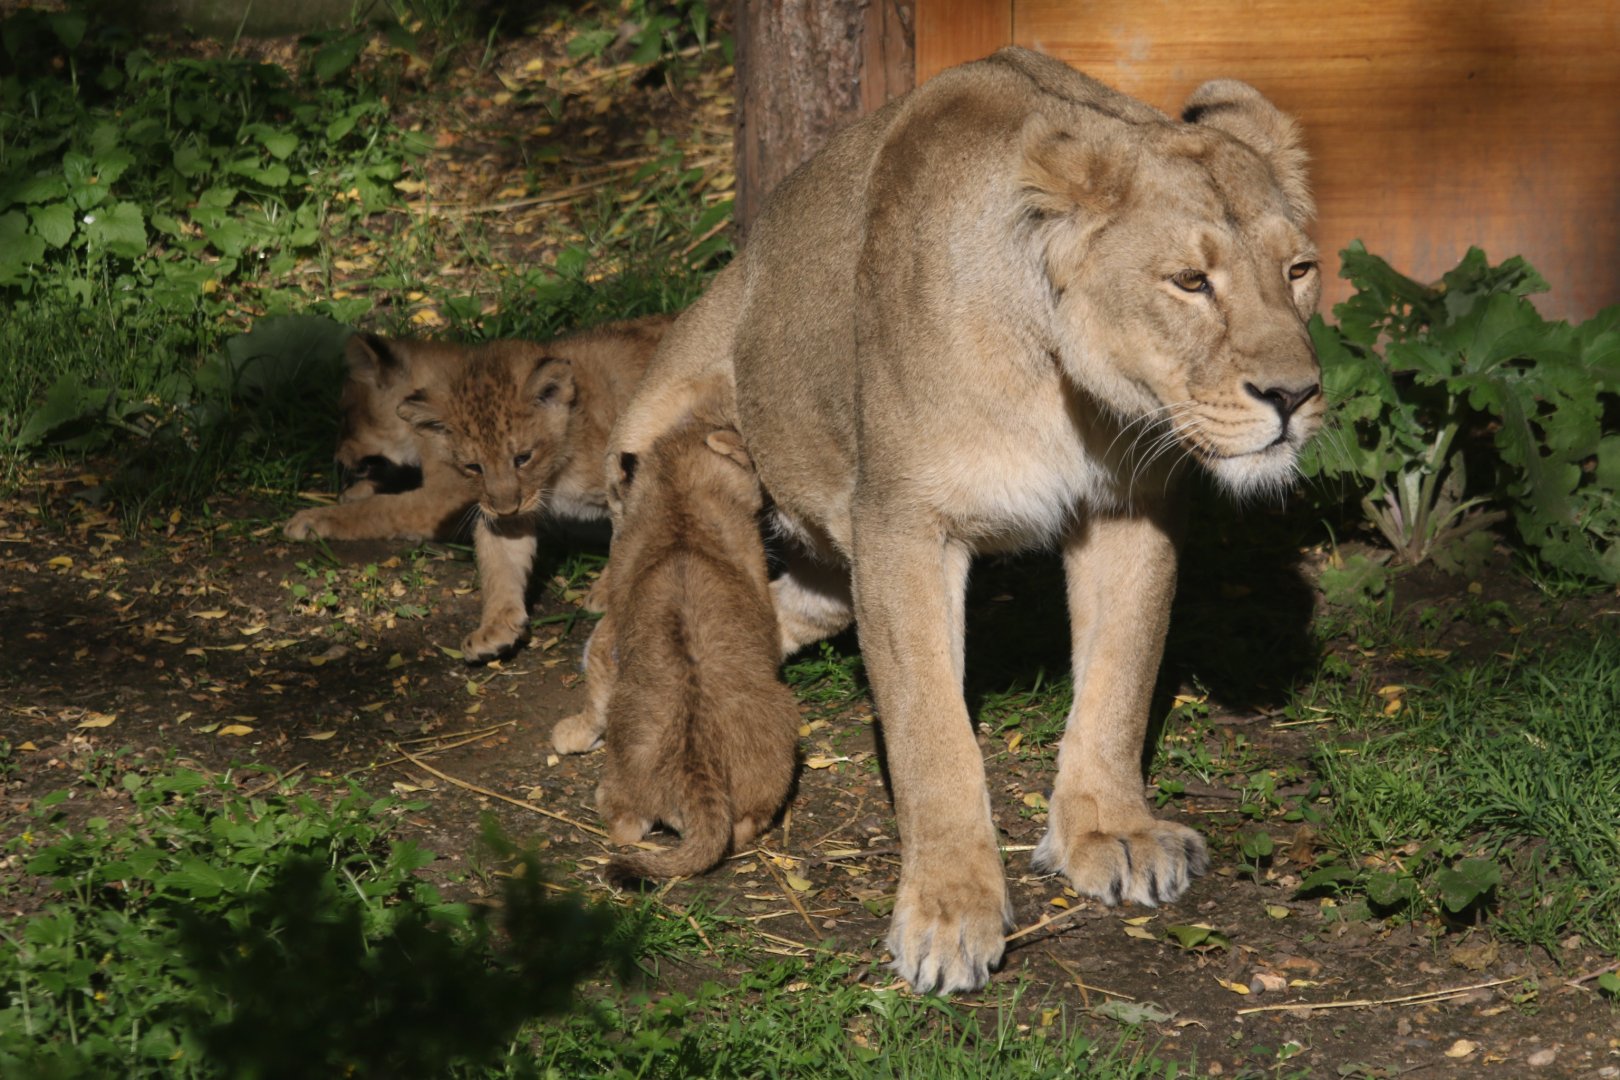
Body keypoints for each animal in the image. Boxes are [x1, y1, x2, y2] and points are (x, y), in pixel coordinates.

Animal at [286, 315, 673, 661]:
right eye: (475, 466)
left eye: (522, 458)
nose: (337, 458)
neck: (555, 473)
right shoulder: (497, 508)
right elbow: (499, 566)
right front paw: (495, 629)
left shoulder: (441, 499)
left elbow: (379, 510)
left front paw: (310, 519)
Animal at [605, 47, 1323, 992]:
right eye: (1190, 281)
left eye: (1299, 271)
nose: (1296, 396)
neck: (1063, 387)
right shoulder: (903, 526)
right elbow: (930, 732)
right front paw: (949, 914)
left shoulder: (1131, 508)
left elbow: (1121, 677)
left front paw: (1111, 831)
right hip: (657, 440)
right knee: (609, 618)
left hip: (815, 585)